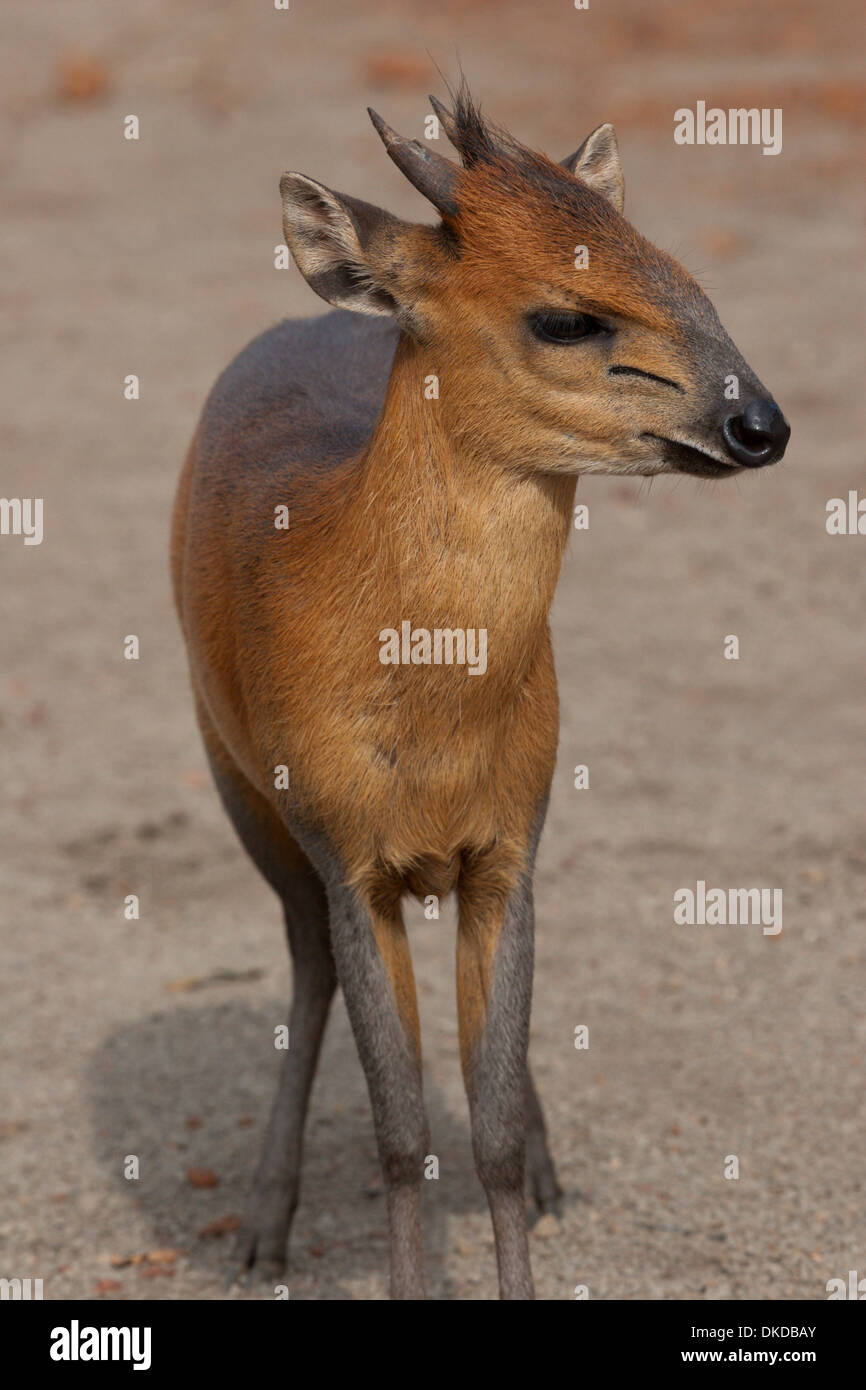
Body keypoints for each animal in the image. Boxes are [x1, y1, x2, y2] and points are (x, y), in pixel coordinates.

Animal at [170, 86, 795, 1295]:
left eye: (676, 271)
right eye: (564, 318)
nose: (761, 424)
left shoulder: (512, 843)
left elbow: (490, 1125)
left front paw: (532, 1182)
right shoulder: (345, 852)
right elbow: (402, 1134)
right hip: (239, 786)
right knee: (305, 971)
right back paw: (263, 1225)